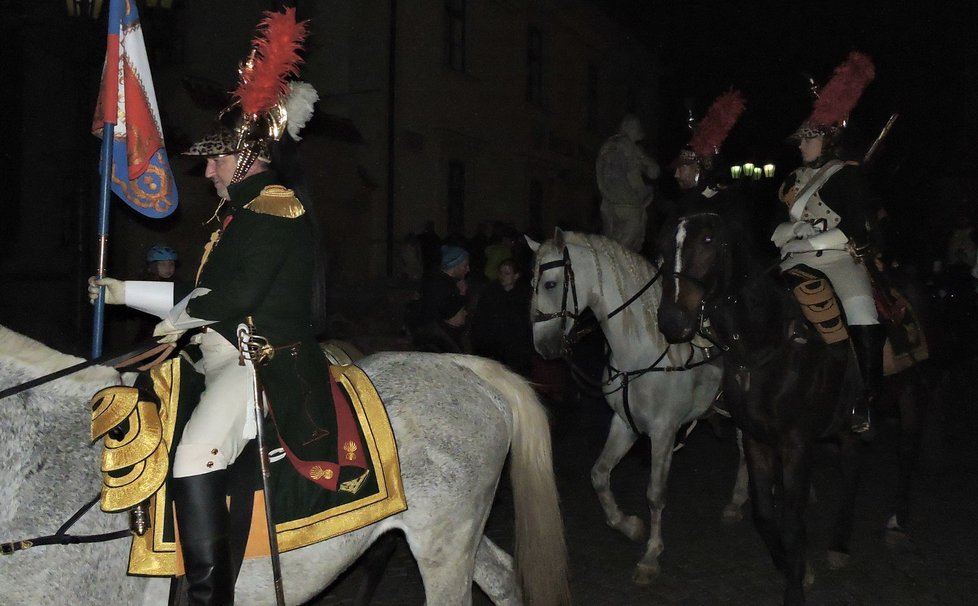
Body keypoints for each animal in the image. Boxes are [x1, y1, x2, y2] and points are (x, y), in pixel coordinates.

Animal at [528, 230, 724, 588]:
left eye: (549, 284)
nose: (543, 348)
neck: (643, 352)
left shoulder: (663, 432)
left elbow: (655, 494)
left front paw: (650, 557)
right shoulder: (624, 424)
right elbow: (599, 474)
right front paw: (629, 525)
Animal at [652, 198, 928, 604]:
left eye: (707, 241)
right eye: (661, 244)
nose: (672, 320)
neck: (765, 344)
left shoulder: (796, 444)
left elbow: (793, 522)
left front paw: (796, 585)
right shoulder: (757, 440)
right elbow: (765, 515)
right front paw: (793, 567)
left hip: (912, 395)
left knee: (907, 453)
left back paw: (898, 523)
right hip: (849, 421)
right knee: (853, 465)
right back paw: (839, 544)